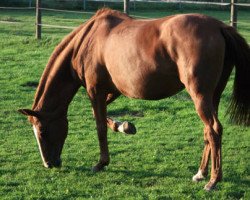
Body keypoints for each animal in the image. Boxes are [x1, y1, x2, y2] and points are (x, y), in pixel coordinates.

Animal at [19, 8, 250, 191]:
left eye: (41, 130)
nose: (49, 163)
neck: (87, 41)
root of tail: (219, 26)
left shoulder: (95, 91)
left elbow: (99, 126)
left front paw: (101, 163)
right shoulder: (112, 90)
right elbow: (104, 119)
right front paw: (125, 126)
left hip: (199, 95)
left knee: (214, 129)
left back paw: (212, 181)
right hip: (213, 96)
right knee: (208, 132)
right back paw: (200, 173)